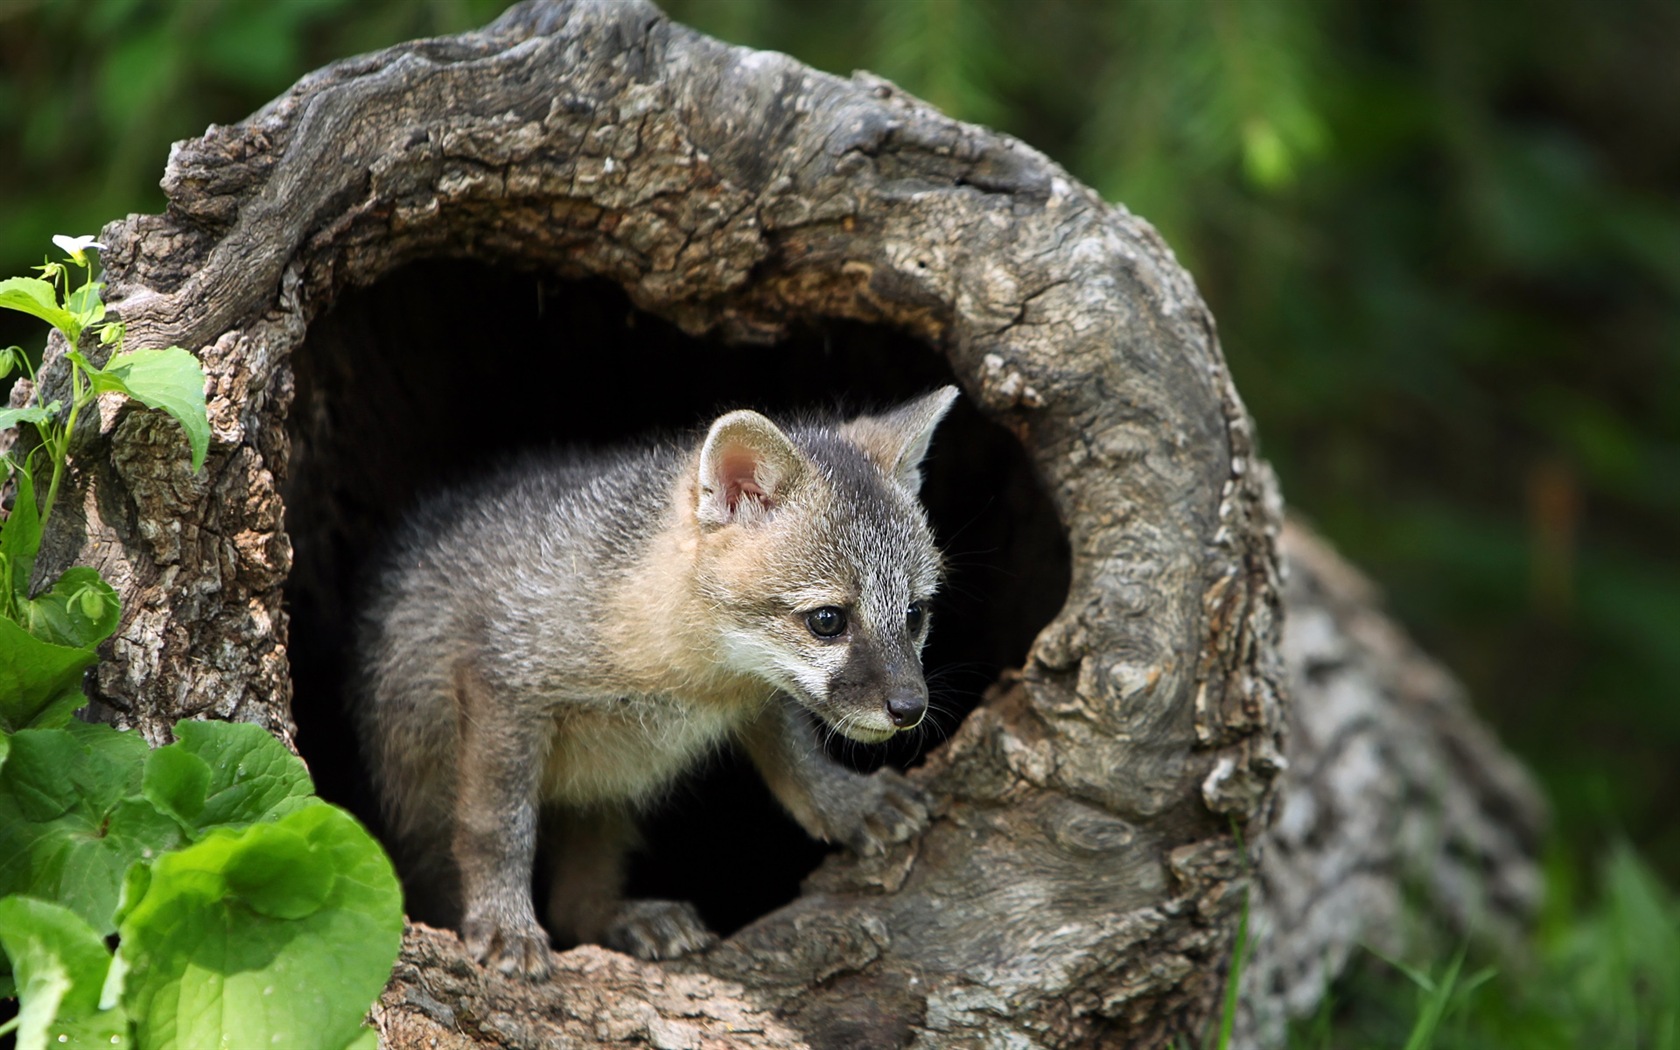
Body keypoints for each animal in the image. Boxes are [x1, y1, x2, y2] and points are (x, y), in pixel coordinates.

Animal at [354, 384, 960, 974]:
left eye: (915, 615)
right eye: (828, 620)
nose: (911, 707)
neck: (689, 682)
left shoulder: (757, 696)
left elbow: (799, 762)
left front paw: (846, 803)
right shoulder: (503, 685)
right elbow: (498, 830)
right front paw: (503, 922)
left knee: (576, 908)